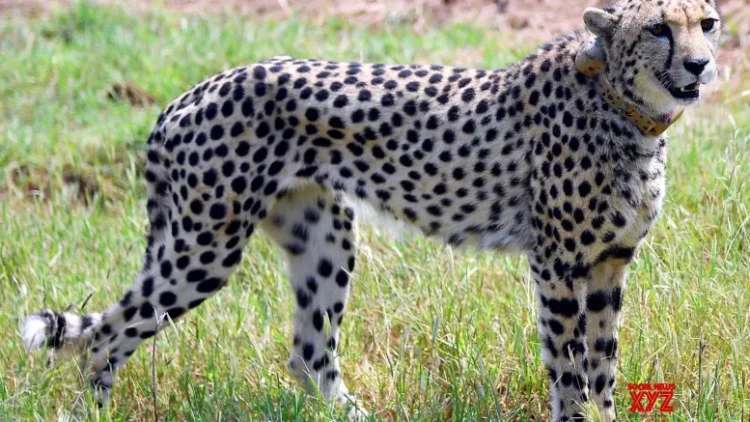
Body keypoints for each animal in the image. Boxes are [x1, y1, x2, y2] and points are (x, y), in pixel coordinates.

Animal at [21, 0, 721, 420]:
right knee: (105, 335)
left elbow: (603, 362)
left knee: (307, 352)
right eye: (659, 27)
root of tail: (188, 94)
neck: (627, 108)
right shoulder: (558, 264)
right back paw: (96, 410)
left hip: (324, 238)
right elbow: (569, 363)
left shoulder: (609, 263)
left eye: (707, 22)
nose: (700, 64)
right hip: (204, 247)